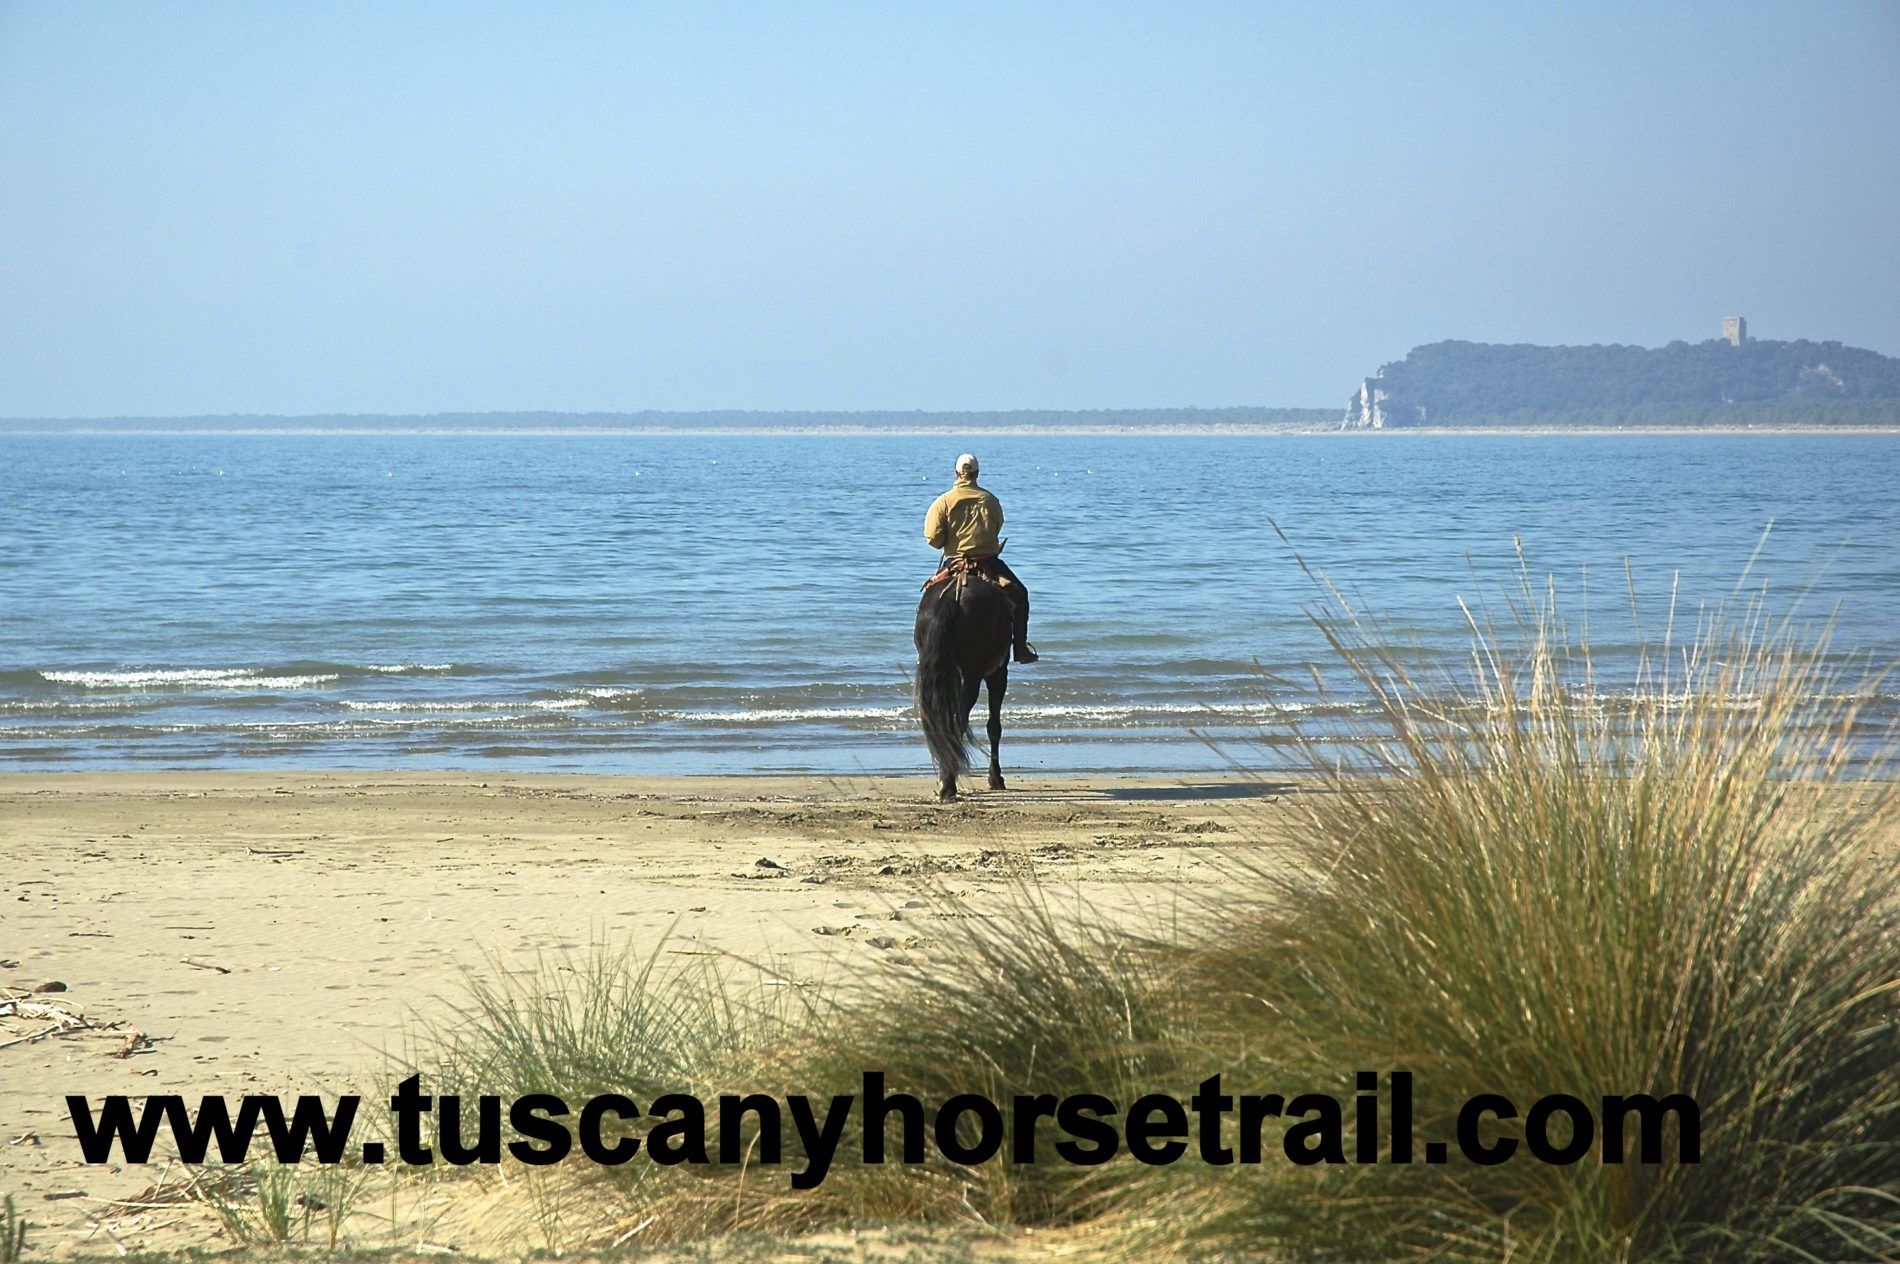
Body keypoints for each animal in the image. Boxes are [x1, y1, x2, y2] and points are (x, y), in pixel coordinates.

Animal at [912, 562, 1018, 798]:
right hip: (973, 674)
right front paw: (995, 778)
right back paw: (948, 783)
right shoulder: (999, 672)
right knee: (958, 720)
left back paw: (945, 780)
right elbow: (994, 727)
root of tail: (951, 599)